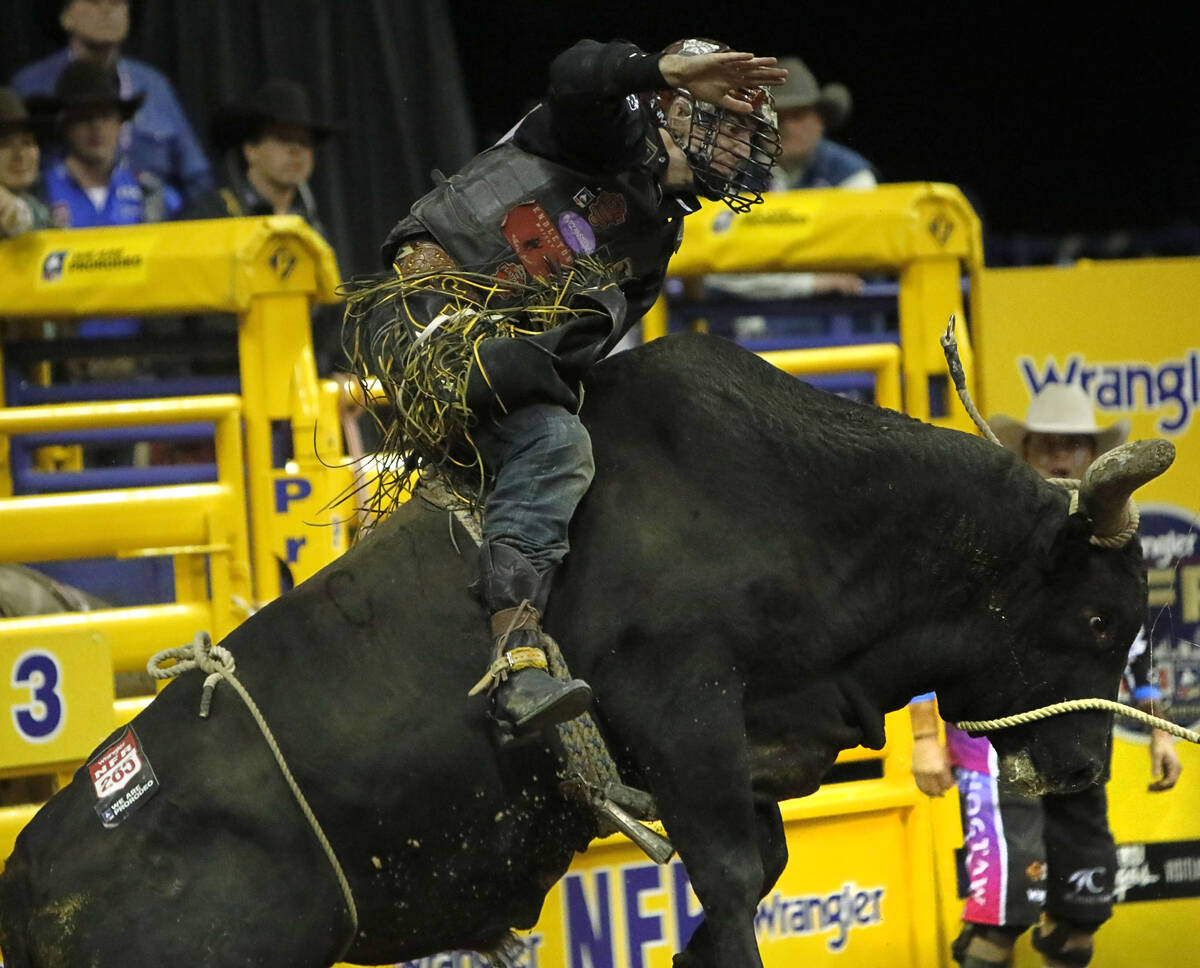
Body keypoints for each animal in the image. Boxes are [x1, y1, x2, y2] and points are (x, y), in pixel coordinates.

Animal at [0, 335, 1171, 968]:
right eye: (1099, 622)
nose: (1081, 770)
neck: (803, 507)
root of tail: (28, 886)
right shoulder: (683, 710)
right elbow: (734, 876)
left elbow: (758, 865)